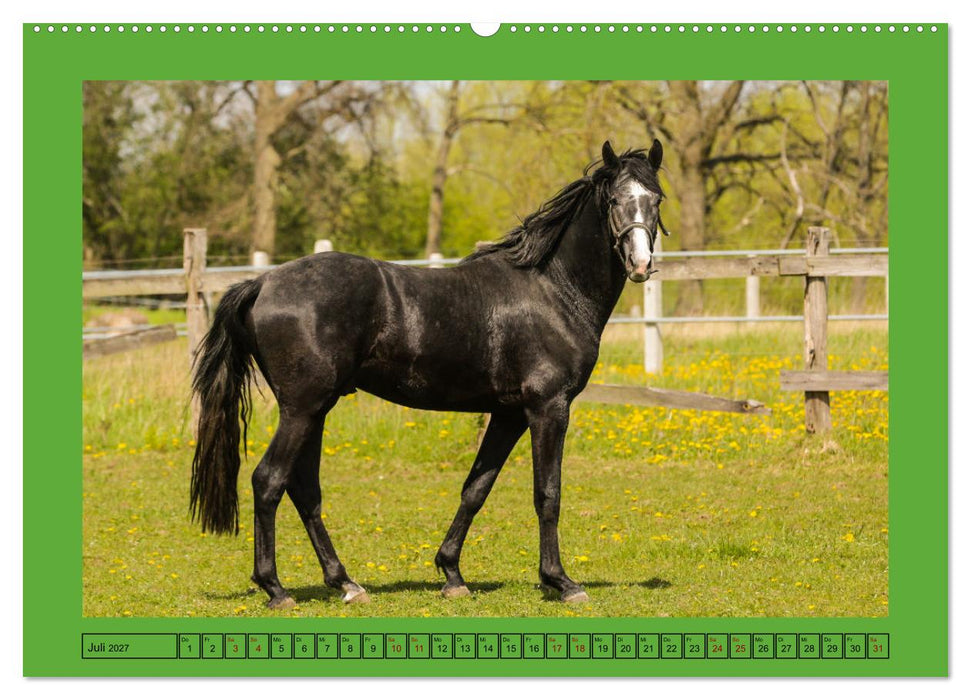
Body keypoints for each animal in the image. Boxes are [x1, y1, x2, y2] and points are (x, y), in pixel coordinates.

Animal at [190, 140, 668, 608]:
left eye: (656, 199)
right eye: (614, 200)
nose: (640, 264)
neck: (552, 289)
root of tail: (262, 284)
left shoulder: (509, 414)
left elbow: (476, 488)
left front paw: (452, 573)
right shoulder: (548, 408)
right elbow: (547, 493)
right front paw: (561, 582)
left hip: (314, 411)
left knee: (304, 489)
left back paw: (346, 584)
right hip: (302, 409)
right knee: (268, 480)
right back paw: (276, 589)